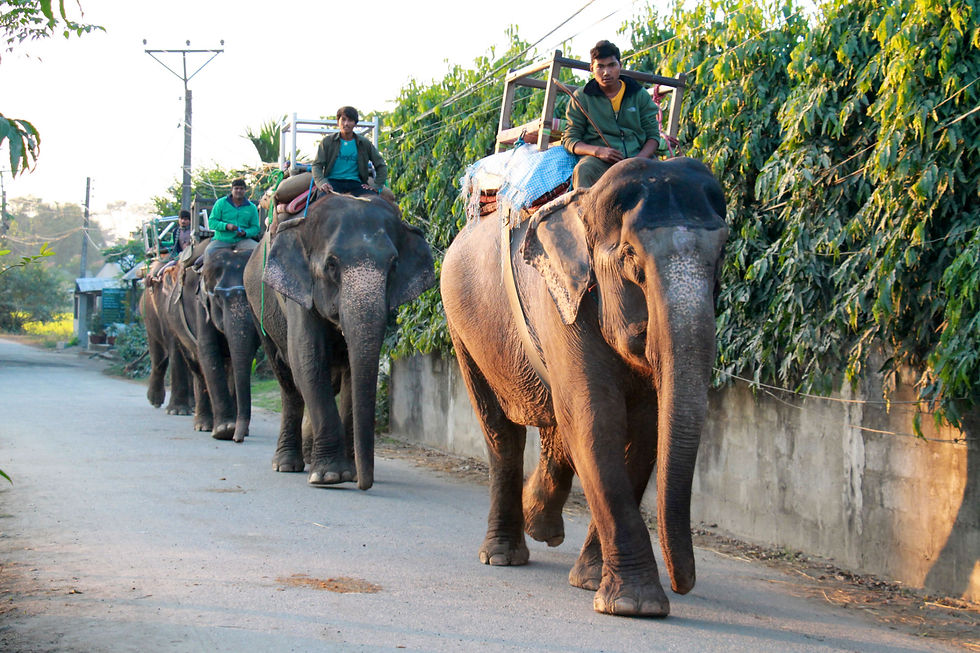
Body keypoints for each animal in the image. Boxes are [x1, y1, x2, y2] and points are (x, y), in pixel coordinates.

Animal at [244, 192, 436, 490]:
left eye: (393, 266)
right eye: (331, 265)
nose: (365, 484)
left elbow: (350, 372)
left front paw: (348, 473)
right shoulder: (299, 294)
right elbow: (308, 360)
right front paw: (330, 476)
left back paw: (309, 457)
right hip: (257, 308)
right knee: (287, 378)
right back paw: (287, 464)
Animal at [440, 156, 728, 617]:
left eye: (721, 258)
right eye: (631, 259)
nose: (684, 585)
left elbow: (642, 433)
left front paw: (594, 581)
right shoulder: (561, 305)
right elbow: (597, 422)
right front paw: (635, 605)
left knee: (556, 425)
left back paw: (541, 525)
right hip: (462, 326)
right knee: (502, 432)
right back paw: (503, 554)